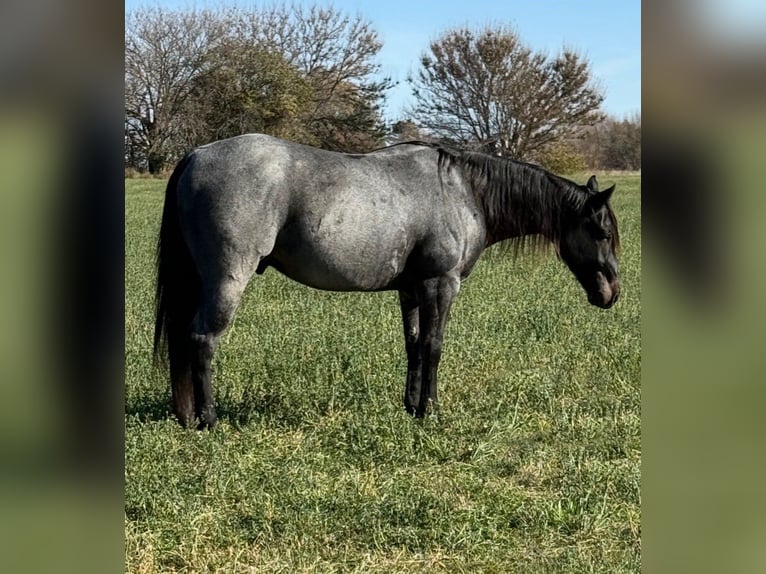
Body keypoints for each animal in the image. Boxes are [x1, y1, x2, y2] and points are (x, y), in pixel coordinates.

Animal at [154, 134, 620, 429]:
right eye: (601, 232)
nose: (612, 294)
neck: (463, 191)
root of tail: (196, 154)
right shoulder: (440, 284)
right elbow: (434, 346)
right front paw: (431, 410)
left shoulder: (411, 289)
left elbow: (413, 346)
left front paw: (412, 406)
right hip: (227, 278)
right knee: (202, 340)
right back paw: (209, 419)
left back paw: (187, 416)